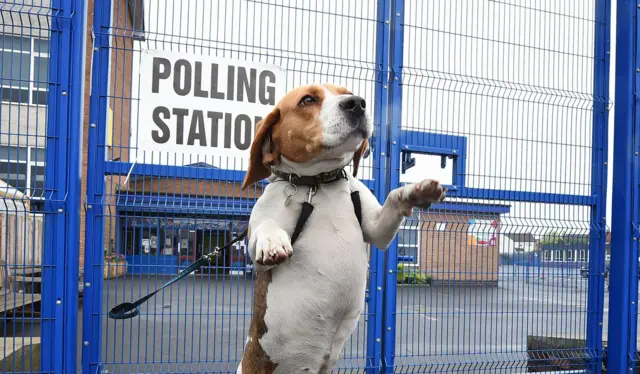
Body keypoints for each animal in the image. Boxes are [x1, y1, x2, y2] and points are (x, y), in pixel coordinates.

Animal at [236, 84, 444, 374]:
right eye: (307, 100)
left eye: (347, 92)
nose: (357, 103)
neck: (318, 184)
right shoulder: (258, 256)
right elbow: (266, 226)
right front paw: (273, 241)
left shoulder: (377, 230)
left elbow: (393, 197)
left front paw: (415, 191)